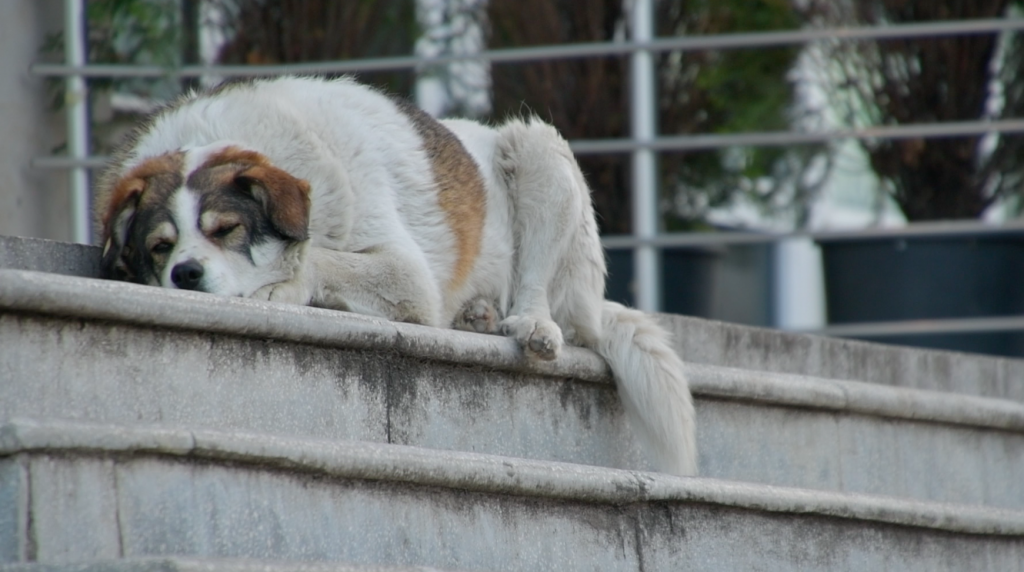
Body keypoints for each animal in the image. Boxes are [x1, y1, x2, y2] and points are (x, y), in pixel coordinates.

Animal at [94, 77, 696, 478]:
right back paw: (476, 315)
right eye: (160, 247)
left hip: (539, 150)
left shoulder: (405, 272)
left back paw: (529, 325)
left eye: (226, 229)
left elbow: (315, 258)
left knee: (542, 297)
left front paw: (285, 281)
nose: (185, 273)